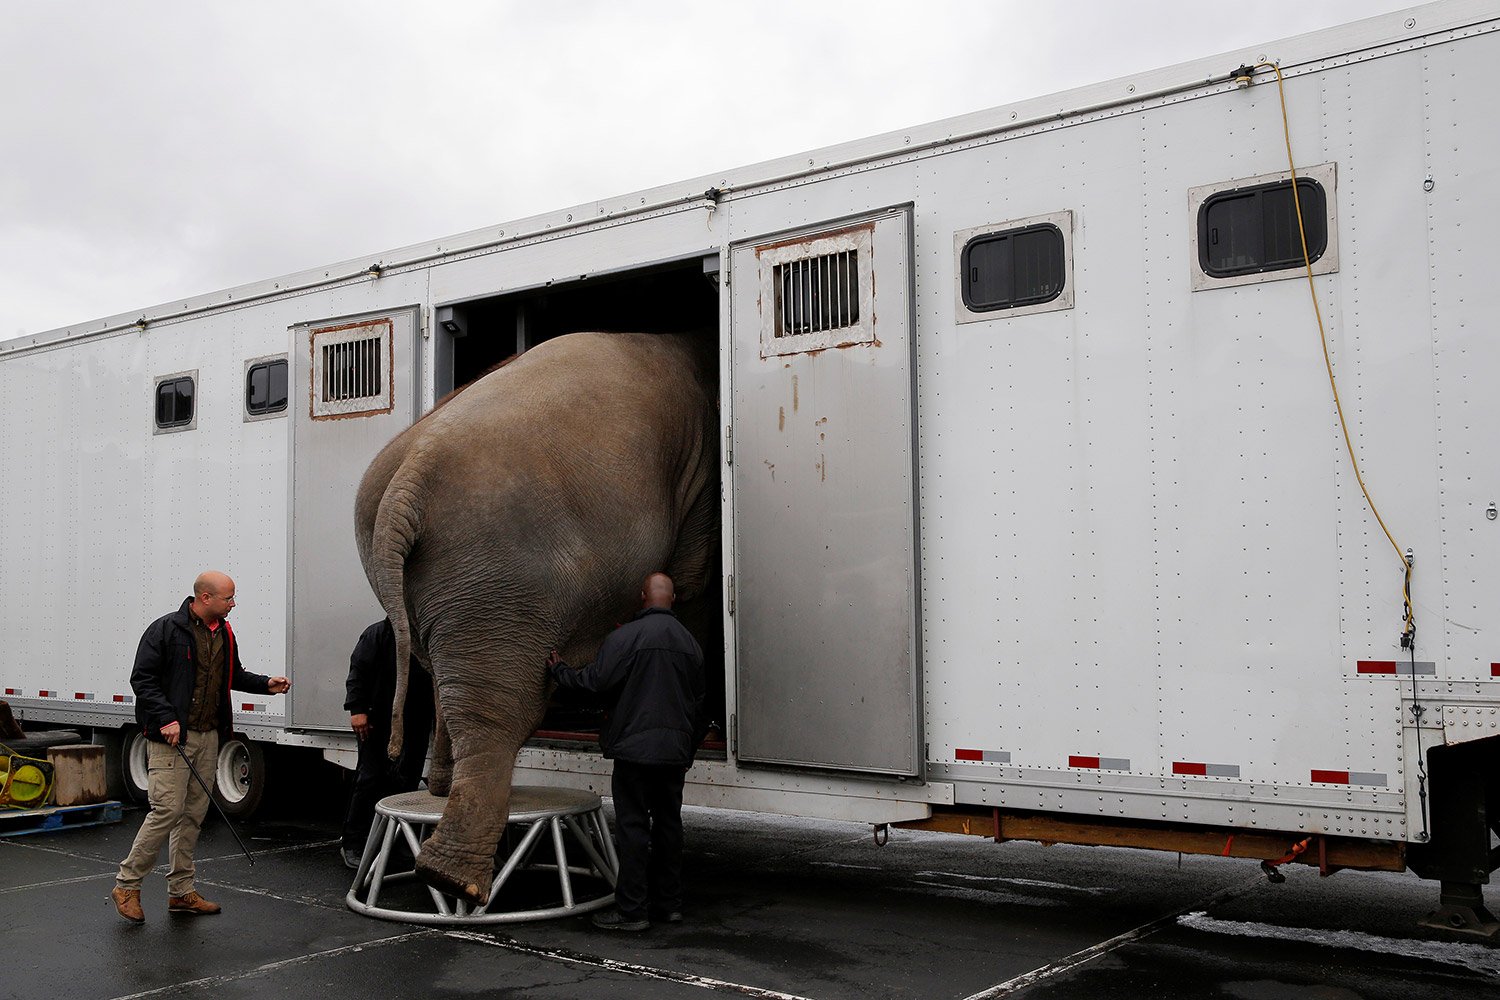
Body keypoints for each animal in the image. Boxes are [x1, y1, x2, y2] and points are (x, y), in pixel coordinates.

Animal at [357, 332, 720, 905]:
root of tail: (408, 478)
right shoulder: (701, 479)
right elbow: (692, 581)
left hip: (446, 584)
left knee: (444, 680)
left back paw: (438, 794)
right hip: (499, 584)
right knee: (497, 711)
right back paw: (453, 879)